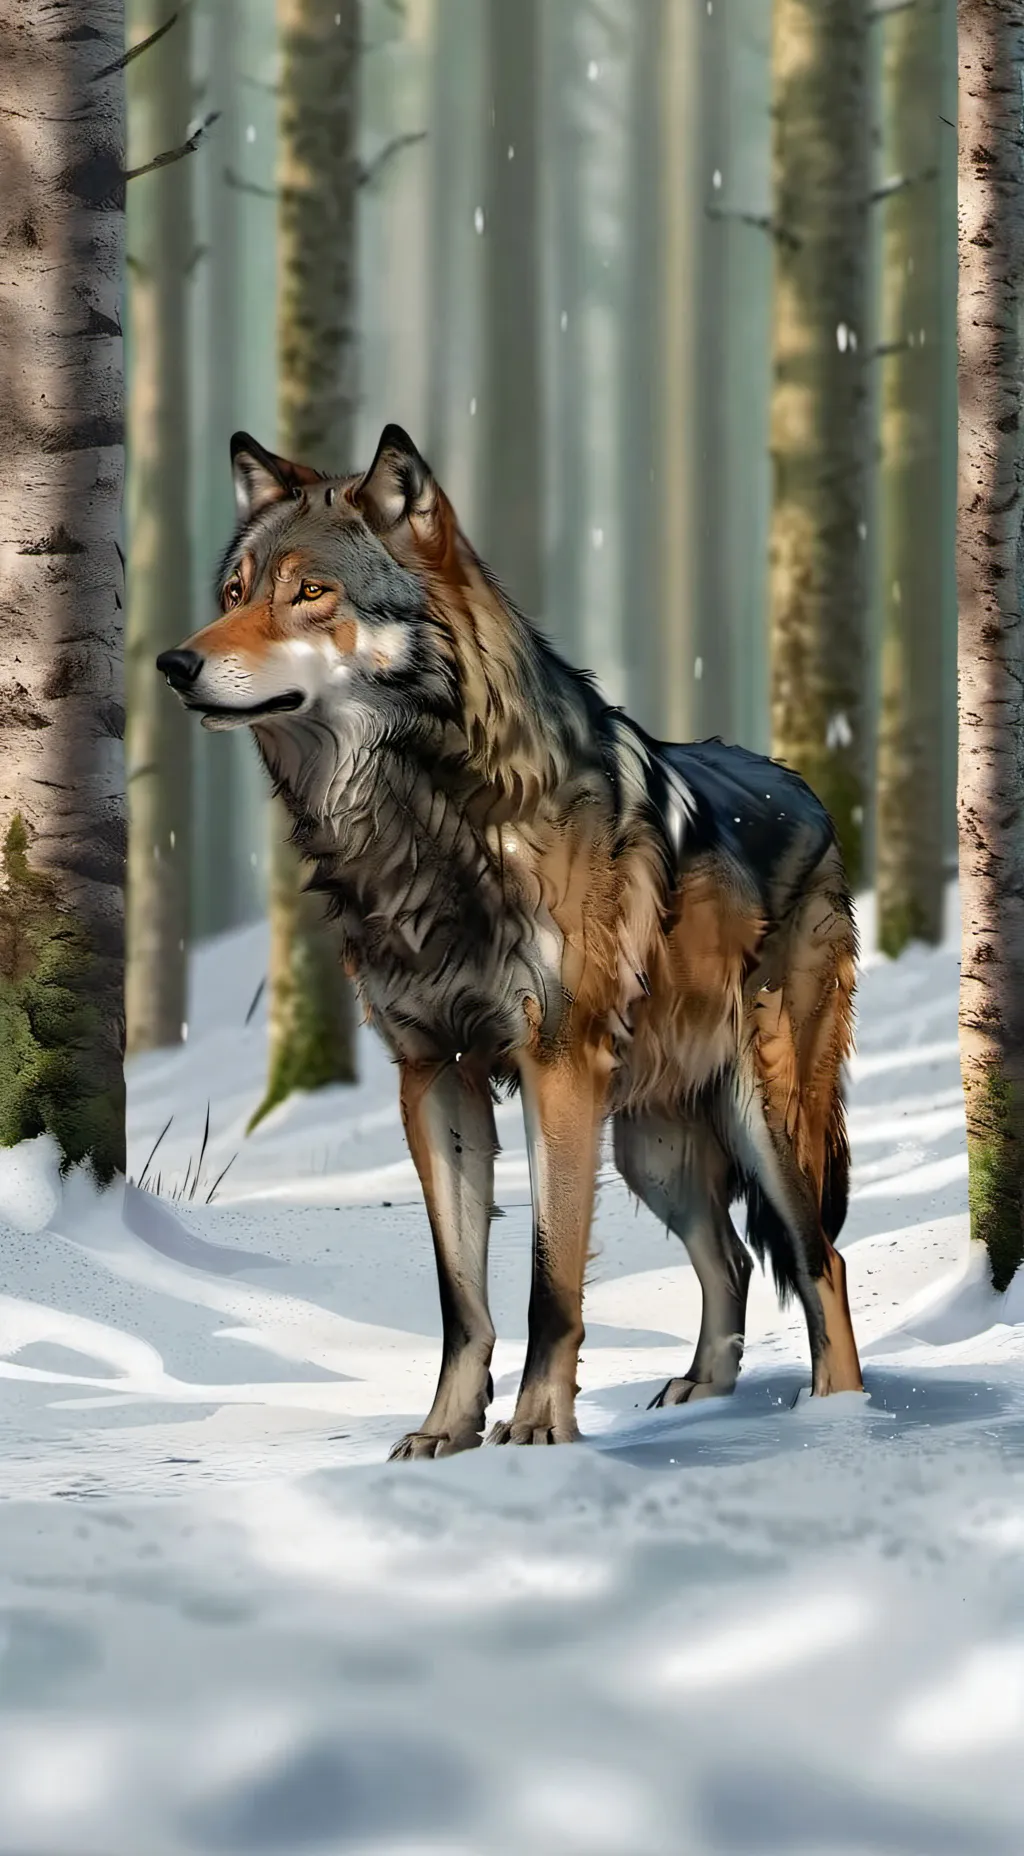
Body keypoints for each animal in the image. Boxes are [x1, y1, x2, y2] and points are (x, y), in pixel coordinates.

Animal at [158, 423, 863, 1458]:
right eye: (234, 594)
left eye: (311, 592)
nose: (174, 665)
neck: (421, 824)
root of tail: (811, 794)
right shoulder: (432, 1076)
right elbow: (462, 1297)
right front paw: (443, 1434)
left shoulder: (554, 1068)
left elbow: (549, 1284)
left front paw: (535, 1431)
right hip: (654, 1151)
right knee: (730, 1257)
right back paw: (705, 1392)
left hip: (762, 1119)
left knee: (821, 1261)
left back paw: (842, 1416)